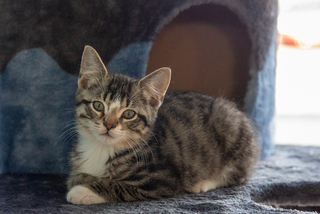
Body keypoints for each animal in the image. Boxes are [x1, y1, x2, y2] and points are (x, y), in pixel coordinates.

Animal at [66, 46, 258, 205]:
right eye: (98, 105)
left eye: (129, 114)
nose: (109, 125)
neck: (101, 148)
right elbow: (76, 175)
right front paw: (79, 179)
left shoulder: (161, 179)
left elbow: (116, 184)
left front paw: (83, 191)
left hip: (231, 131)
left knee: (238, 176)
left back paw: (203, 183)